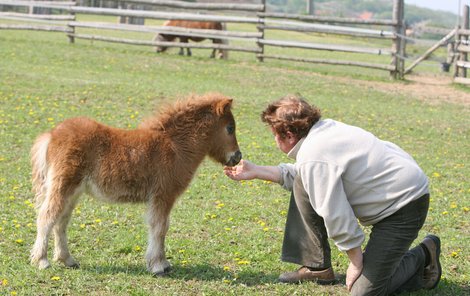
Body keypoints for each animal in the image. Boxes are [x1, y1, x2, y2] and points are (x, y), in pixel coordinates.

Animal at [30, 93, 242, 276]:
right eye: (230, 128)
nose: (237, 157)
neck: (175, 146)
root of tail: (52, 134)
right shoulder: (163, 195)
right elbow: (160, 227)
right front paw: (158, 266)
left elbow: (161, 227)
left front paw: (163, 263)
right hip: (63, 186)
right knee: (47, 217)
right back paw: (42, 261)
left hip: (73, 191)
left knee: (61, 221)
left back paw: (67, 260)